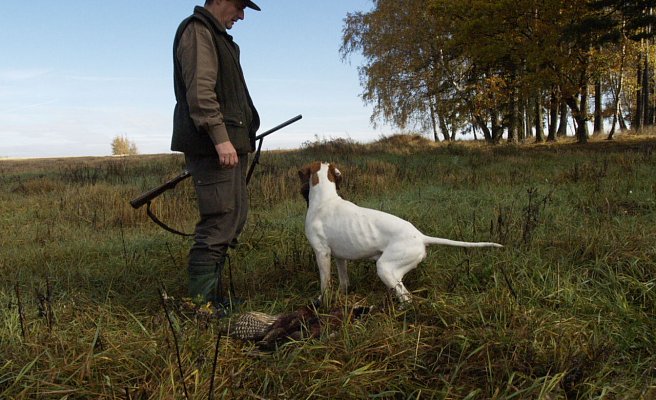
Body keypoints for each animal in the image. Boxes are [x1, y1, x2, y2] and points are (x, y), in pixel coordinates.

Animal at [298, 161, 502, 302]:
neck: (326, 199)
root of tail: (421, 237)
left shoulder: (322, 253)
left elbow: (325, 284)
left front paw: (322, 302)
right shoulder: (339, 257)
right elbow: (343, 281)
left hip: (385, 268)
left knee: (407, 297)